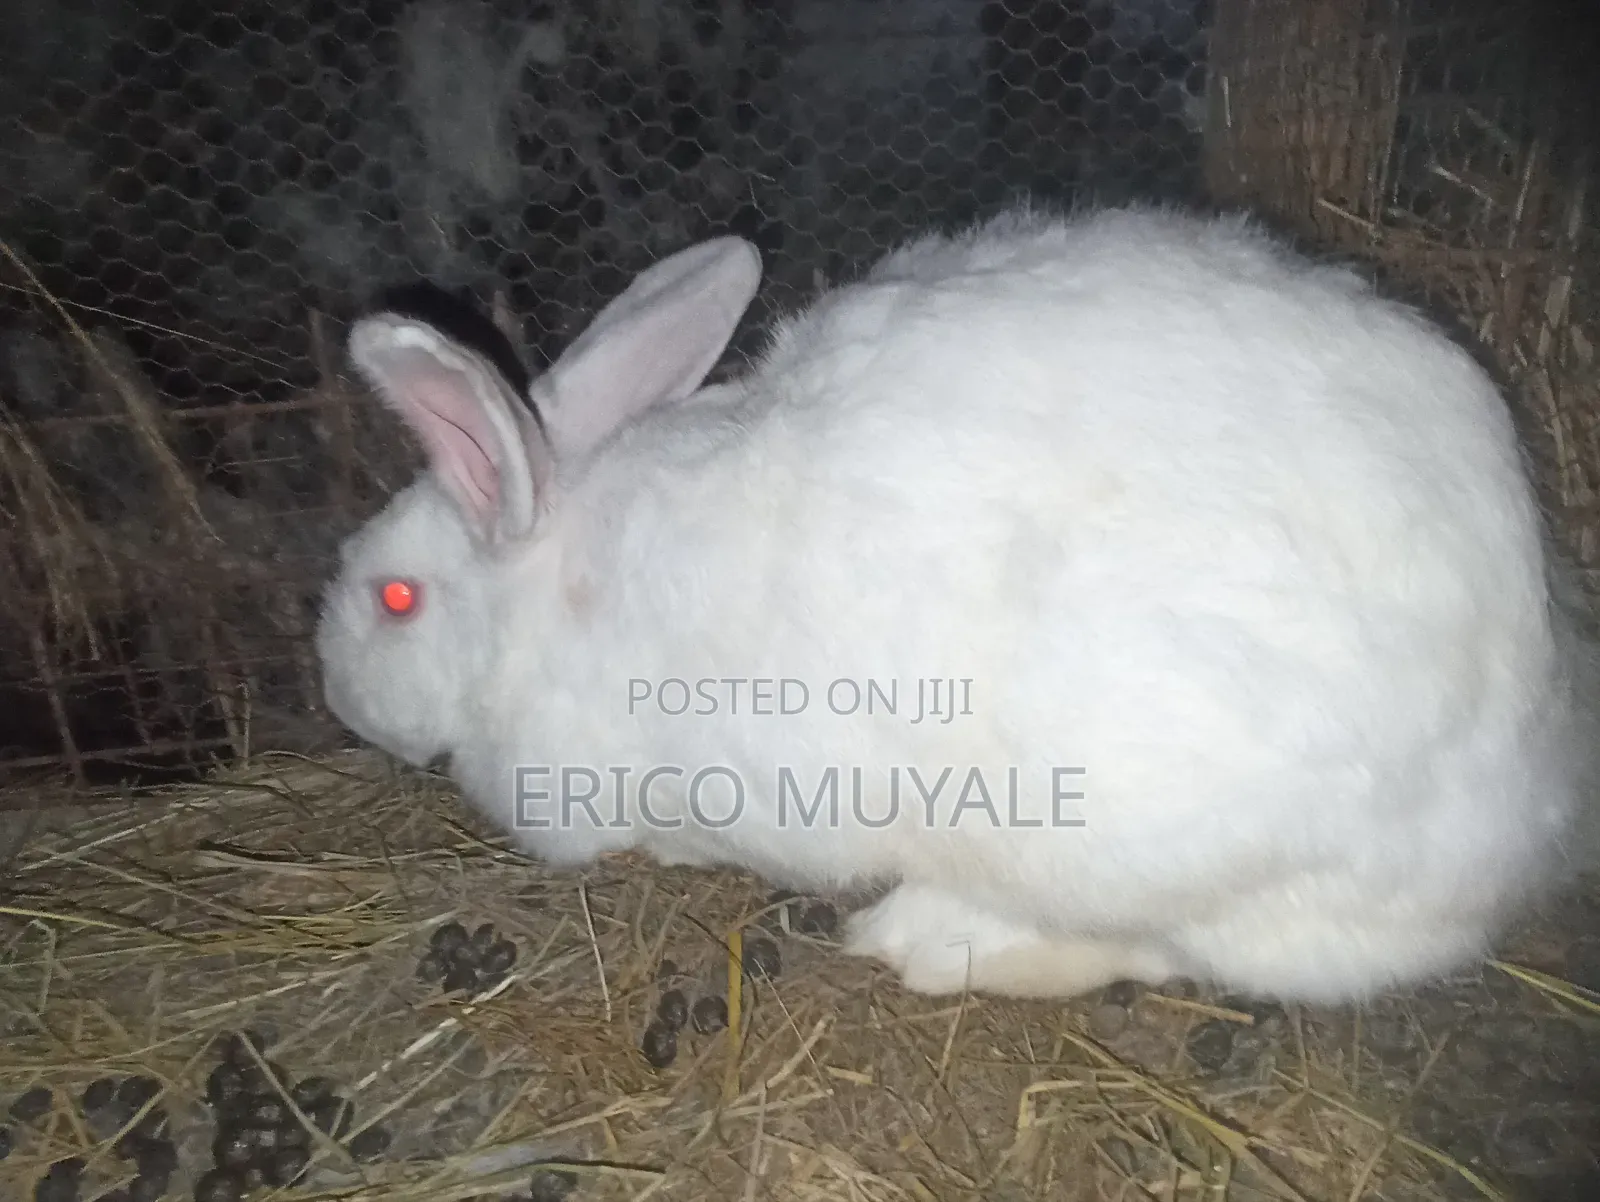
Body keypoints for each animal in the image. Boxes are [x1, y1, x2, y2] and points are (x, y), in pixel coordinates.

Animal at [316, 202, 1595, 1005]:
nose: (329, 683)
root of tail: (1524, 780)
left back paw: (926, 938)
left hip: (1142, 834)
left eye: (395, 597)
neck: (554, 583)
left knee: (1181, 949)